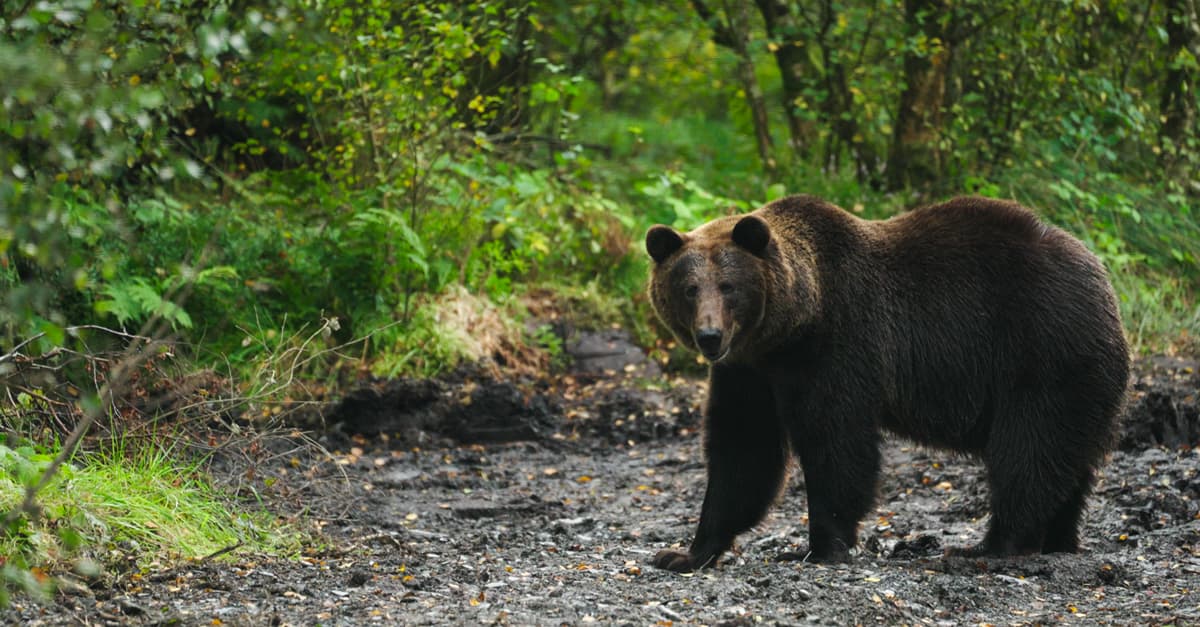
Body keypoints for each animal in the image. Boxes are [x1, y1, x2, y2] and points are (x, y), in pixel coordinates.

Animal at [644, 194, 1129, 572]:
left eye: (729, 286)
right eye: (689, 287)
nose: (710, 336)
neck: (791, 326)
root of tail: (1103, 282)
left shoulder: (839, 344)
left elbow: (836, 443)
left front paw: (820, 546)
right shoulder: (749, 371)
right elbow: (743, 451)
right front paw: (685, 552)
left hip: (1040, 353)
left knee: (1028, 450)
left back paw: (991, 546)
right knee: (1066, 459)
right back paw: (1058, 539)